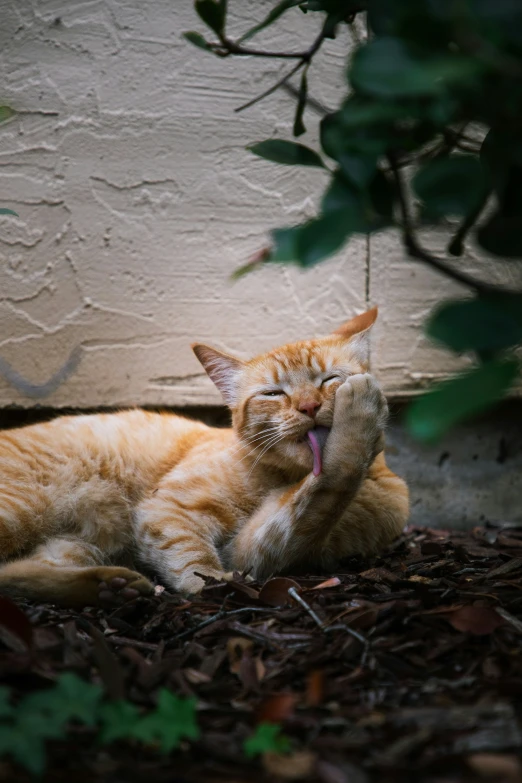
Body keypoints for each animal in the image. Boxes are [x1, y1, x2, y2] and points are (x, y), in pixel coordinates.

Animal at [0, 306, 406, 608]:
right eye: (273, 393)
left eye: (328, 379)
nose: (309, 406)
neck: (284, 475)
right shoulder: (168, 510)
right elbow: (195, 561)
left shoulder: (253, 550)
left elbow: (309, 506)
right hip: (22, 507)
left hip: (73, 545)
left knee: (13, 575)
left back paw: (108, 586)